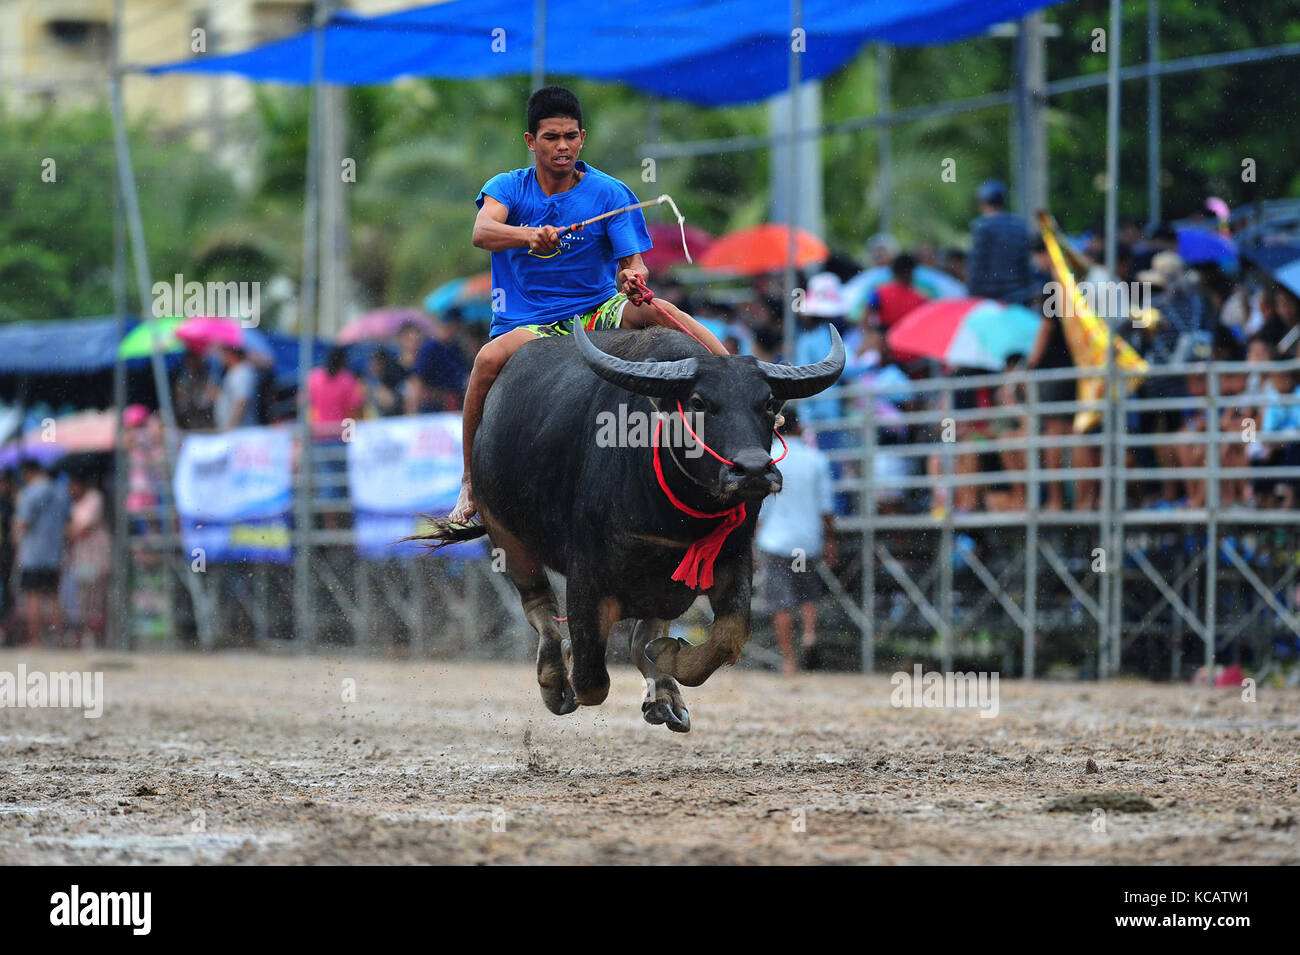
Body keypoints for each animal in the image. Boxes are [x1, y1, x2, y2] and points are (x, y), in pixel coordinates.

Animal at [423, 320, 842, 732]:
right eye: (698, 403)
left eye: (768, 403)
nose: (753, 470)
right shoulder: (585, 575)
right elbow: (591, 679)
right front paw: (572, 667)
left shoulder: (733, 557)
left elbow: (729, 635)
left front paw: (669, 656)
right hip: (505, 533)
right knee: (539, 605)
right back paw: (556, 678)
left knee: (646, 630)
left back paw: (663, 694)